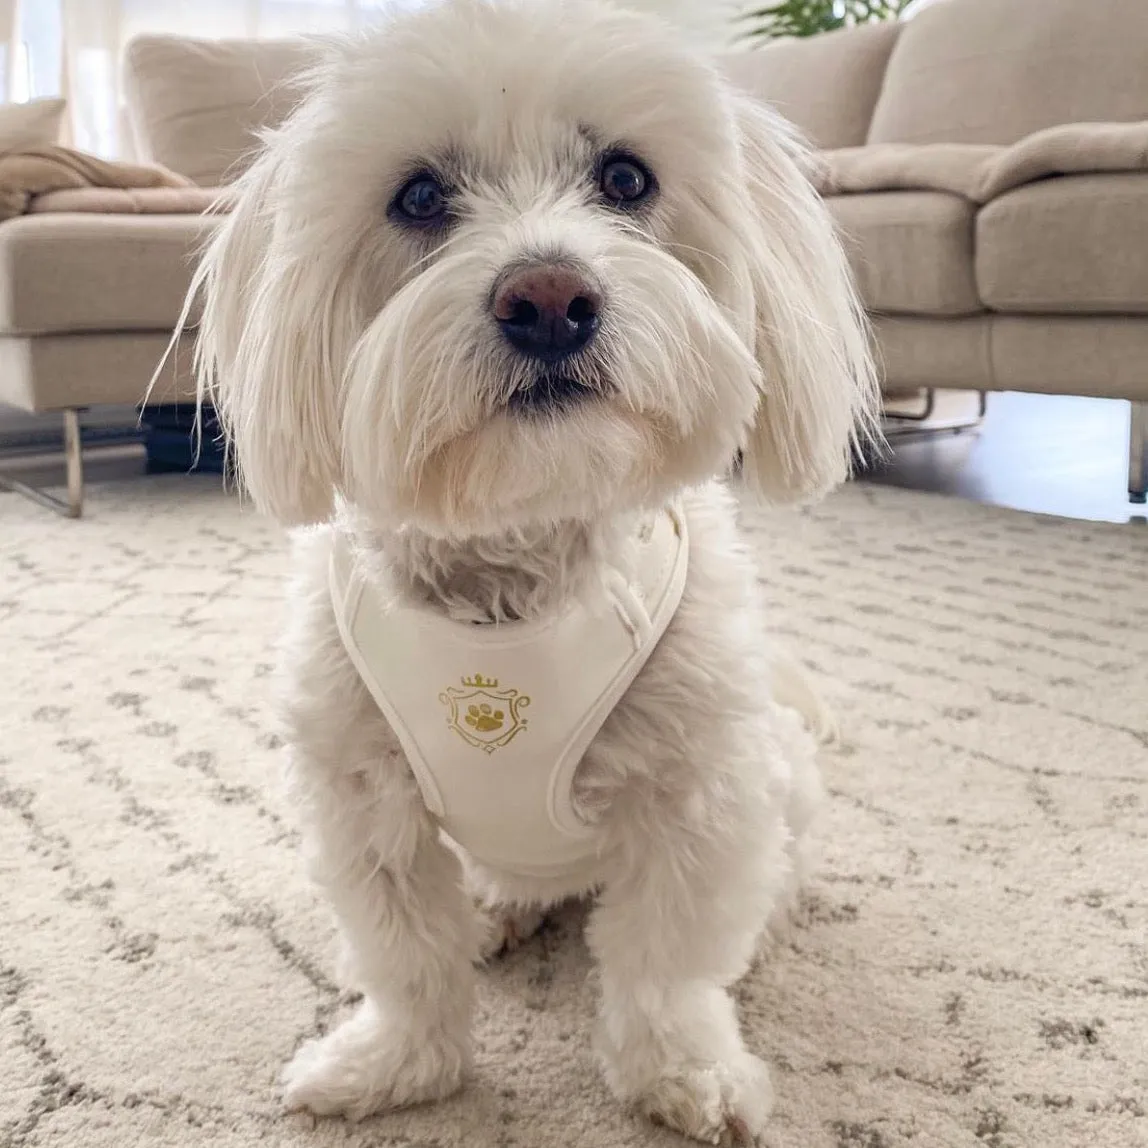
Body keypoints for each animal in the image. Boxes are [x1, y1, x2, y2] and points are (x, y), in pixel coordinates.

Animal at [183, 4, 872, 1143]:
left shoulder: (699, 795)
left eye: (627, 178)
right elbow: (405, 952)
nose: (548, 296)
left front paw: (682, 1072)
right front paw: (395, 1063)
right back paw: (495, 912)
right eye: (419, 196)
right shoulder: (362, 800)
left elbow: (665, 961)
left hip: (785, 777)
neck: (516, 556)